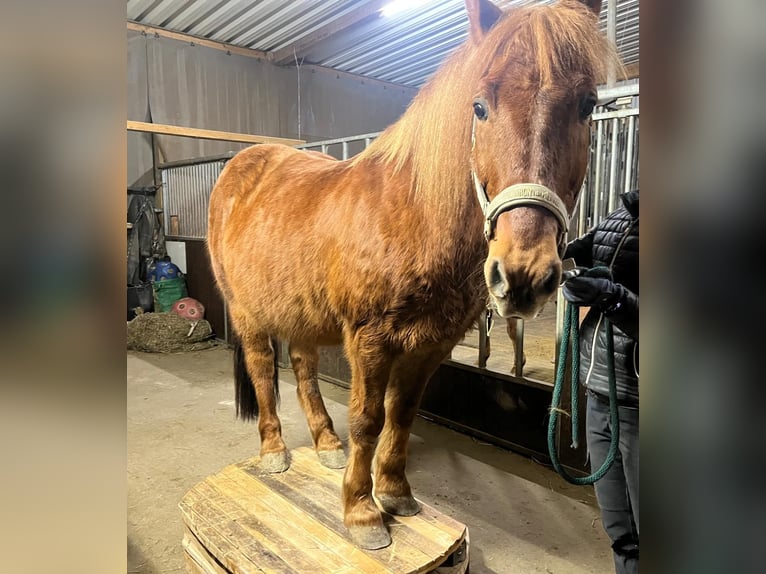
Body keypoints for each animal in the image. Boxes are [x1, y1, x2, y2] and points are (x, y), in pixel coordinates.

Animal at [207, 0, 617, 550]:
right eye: (480, 107)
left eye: (587, 105)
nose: (523, 273)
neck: (413, 216)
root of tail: (242, 163)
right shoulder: (369, 339)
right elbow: (368, 419)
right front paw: (361, 512)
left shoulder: (430, 343)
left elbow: (400, 414)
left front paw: (395, 494)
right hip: (246, 310)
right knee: (262, 369)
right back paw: (275, 452)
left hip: (299, 310)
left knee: (302, 367)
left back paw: (326, 443)